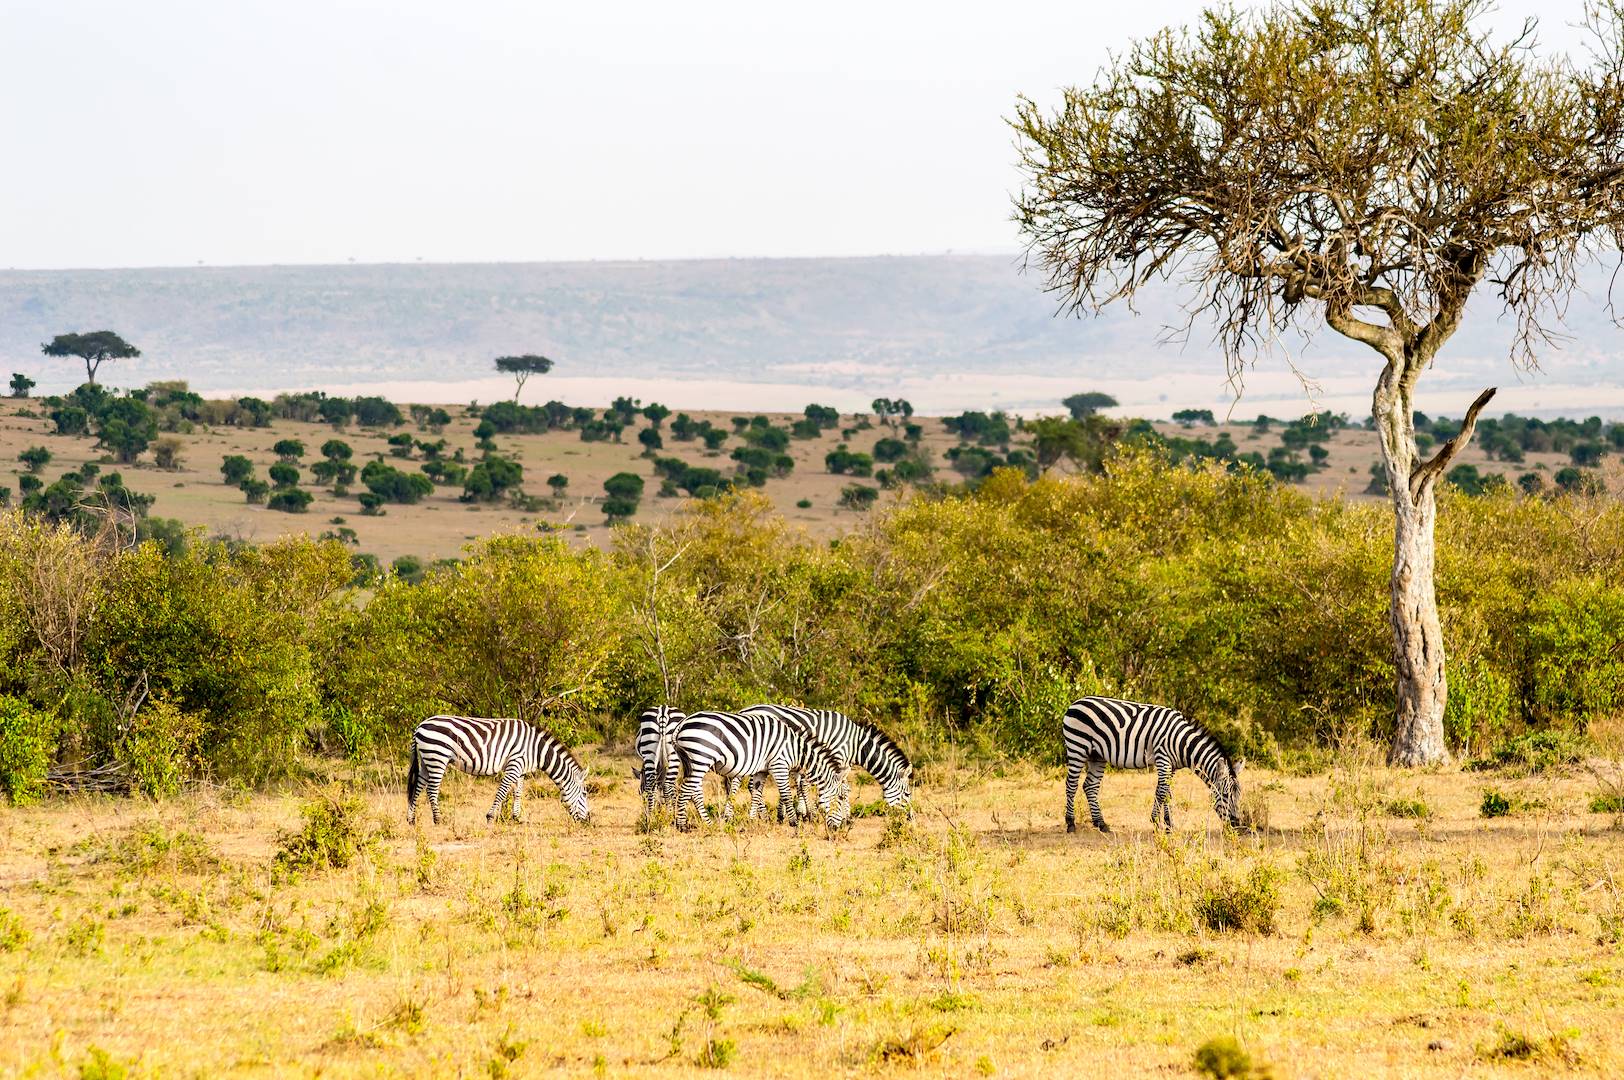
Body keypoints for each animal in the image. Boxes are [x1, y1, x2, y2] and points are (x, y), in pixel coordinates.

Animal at [406, 714, 591, 825]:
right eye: (584, 794)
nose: (588, 820)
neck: (536, 749)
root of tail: (420, 726)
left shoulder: (521, 769)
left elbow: (518, 793)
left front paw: (516, 818)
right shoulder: (514, 764)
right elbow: (502, 792)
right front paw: (490, 817)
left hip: (426, 760)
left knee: (418, 788)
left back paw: (411, 819)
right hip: (437, 757)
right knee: (431, 790)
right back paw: (438, 819)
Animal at [669, 711, 850, 828]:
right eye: (839, 798)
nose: (838, 828)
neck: (795, 749)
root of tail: (682, 724)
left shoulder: (761, 771)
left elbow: (756, 794)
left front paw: (752, 821)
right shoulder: (779, 765)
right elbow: (786, 794)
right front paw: (793, 823)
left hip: (690, 762)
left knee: (694, 792)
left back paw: (707, 823)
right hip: (701, 758)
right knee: (685, 790)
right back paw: (682, 825)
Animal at [740, 698, 909, 818]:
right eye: (907, 794)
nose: (909, 818)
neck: (856, 744)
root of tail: (745, 710)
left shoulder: (842, 764)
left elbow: (841, 788)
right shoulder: (838, 760)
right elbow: (839, 788)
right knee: (750, 785)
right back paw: (762, 816)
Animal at [1058, 695, 1247, 828]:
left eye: (1239, 796)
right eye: (1225, 795)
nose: (1236, 823)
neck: (1183, 743)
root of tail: (1074, 703)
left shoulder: (1172, 767)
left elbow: (1168, 793)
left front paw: (1169, 825)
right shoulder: (1163, 759)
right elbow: (1161, 792)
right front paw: (1155, 821)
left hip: (1096, 755)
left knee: (1090, 786)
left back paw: (1101, 824)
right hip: (1077, 746)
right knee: (1071, 784)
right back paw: (1071, 823)